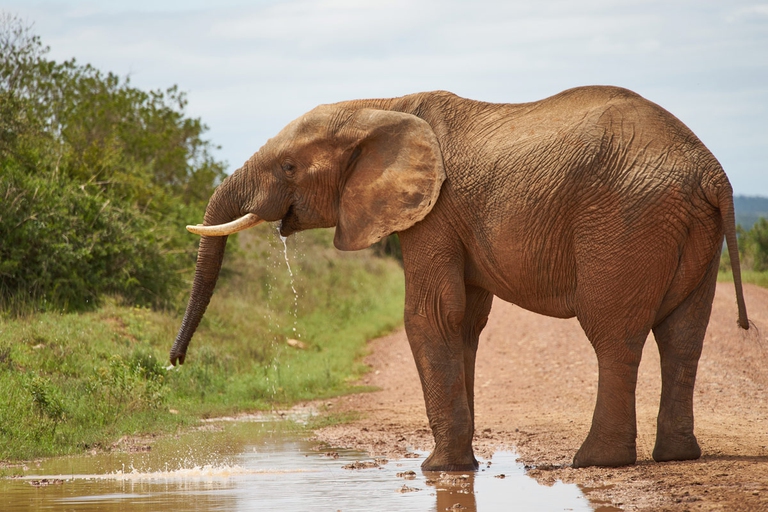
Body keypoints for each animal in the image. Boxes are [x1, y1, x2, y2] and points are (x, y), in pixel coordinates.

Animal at [169, 86, 750, 470]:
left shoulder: (434, 213)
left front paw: (438, 469)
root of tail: (712, 171)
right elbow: (465, 320)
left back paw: (593, 462)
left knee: (614, 334)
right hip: (688, 230)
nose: (175, 363)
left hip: (626, 220)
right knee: (684, 337)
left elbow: (430, 315)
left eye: (289, 168)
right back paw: (677, 456)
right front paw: (461, 466)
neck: (381, 105)